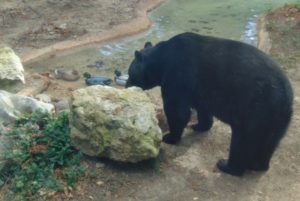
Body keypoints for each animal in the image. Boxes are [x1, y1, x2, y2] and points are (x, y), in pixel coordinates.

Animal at [125, 32, 294, 176]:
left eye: (130, 73)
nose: (126, 85)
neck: (162, 59)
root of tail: (285, 93)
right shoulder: (200, 88)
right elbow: (202, 107)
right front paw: (199, 125)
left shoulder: (178, 73)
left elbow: (177, 109)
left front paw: (170, 137)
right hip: (275, 117)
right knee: (268, 141)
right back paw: (258, 165)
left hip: (255, 107)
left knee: (243, 139)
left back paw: (227, 166)